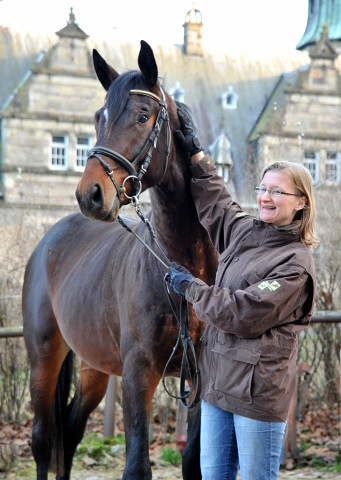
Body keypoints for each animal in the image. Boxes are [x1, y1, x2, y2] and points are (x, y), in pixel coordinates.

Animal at [22, 39, 216, 478]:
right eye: (98, 118)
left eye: (143, 116)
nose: (90, 194)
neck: (183, 267)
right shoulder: (137, 373)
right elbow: (137, 465)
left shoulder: (203, 378)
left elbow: (194, 461)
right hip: (43, 358)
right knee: (43, 441)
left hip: (94, 366)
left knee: (70, 432)